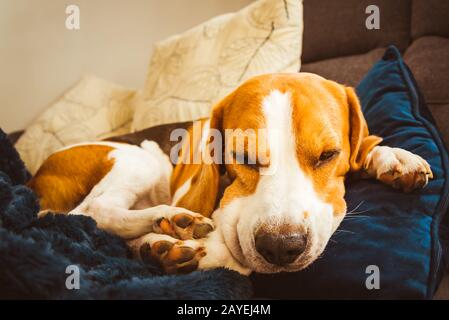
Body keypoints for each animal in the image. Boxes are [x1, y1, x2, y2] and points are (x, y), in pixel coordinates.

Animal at [27, 72, 430, 276]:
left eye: (328, 155)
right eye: (241, 156)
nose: (280, 247)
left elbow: (369, 147)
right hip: (137, 160)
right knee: (93, 212)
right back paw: (171, 222)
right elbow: (231, 251)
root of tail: (36, 179)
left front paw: (395, 157)